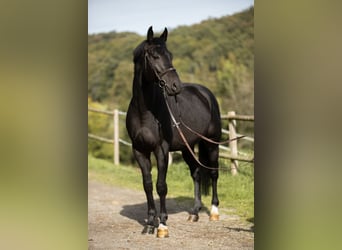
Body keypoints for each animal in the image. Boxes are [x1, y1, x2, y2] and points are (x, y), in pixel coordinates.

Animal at [126, 26, 222, 237]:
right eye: (154, 56)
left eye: (170, 55)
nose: (175, 86)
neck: (145, 112)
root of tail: (206, 93)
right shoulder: (139, 150)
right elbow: (147, 185)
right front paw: (150, 222)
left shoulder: (161, 150)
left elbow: (161, 186)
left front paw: (162, 225)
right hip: (187, 147)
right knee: (196, 173)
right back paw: (194, 213)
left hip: (211, 143)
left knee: (213, 173)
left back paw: (214, 212)